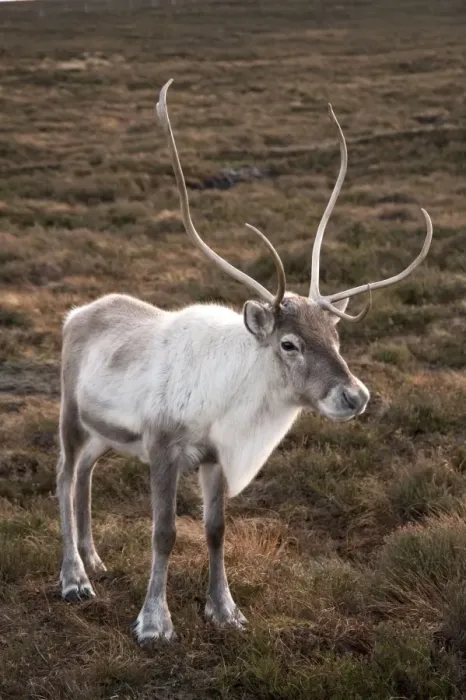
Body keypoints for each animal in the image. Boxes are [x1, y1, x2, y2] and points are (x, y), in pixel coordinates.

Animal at [56, 79, 433, 645]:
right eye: (289, 344)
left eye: (335, 333)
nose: (355, 396)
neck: (231, 400)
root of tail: (76, 313)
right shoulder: (163, 446)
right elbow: (164, 532)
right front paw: (154, 622)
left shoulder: (215, 458)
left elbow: (215, 531)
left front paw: (224, 610)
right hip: (72, 417)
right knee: (63, 476)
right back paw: (74, 579)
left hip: (106, 433)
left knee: (85, 476)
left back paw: (93, 560)